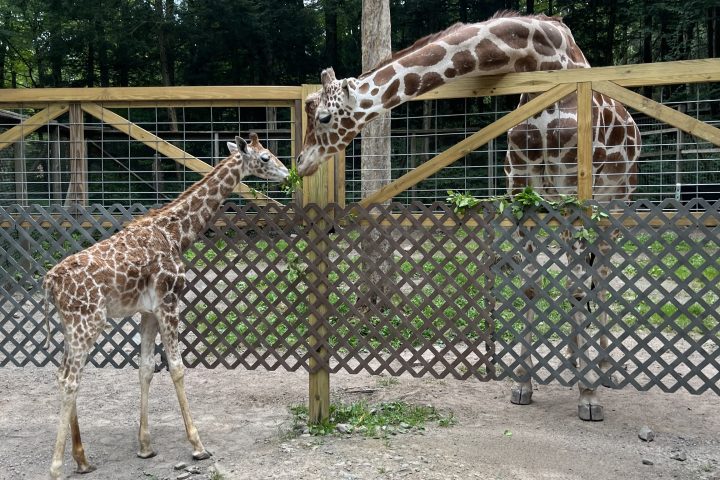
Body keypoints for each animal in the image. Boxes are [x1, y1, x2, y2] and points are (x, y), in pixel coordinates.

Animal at [43, 133, 288, 478]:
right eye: (265, 157)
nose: (286, 172)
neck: (175, 233)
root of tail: (49, 282)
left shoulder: (148, 309)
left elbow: (146, 368)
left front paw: (145, 447)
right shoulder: (170, 300)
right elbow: (177, 367)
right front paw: (198, 446)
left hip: (70, 326)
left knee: (62, 373)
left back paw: (83, 460)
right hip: (87, 323)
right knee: (70, 379)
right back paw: (56, 466)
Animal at [296, 11, 640, 421]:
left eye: (324, 117)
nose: (301, 163)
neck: (543, 63)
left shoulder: (575, 192)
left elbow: (575, 286)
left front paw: (588, 396)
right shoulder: (522, 190)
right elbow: (529, 285)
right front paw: (523, 384)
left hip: (614, 201)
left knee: (599, 276)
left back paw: (601, 368)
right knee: (586, 276)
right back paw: (575, 356)